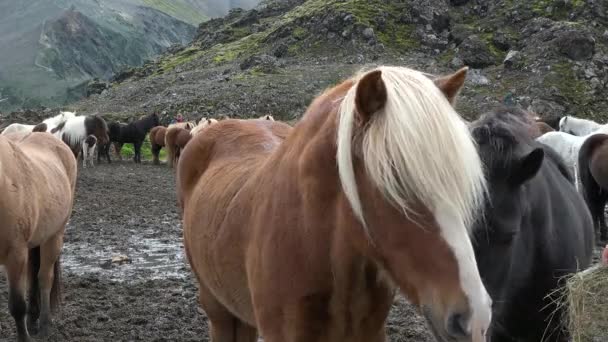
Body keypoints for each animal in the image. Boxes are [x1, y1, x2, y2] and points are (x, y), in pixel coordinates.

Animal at [0, 130, 77, 340]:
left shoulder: (15, 254)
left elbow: (17, 306)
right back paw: (33, 319)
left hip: (54, 236)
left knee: (44, 278)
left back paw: (44, 325)